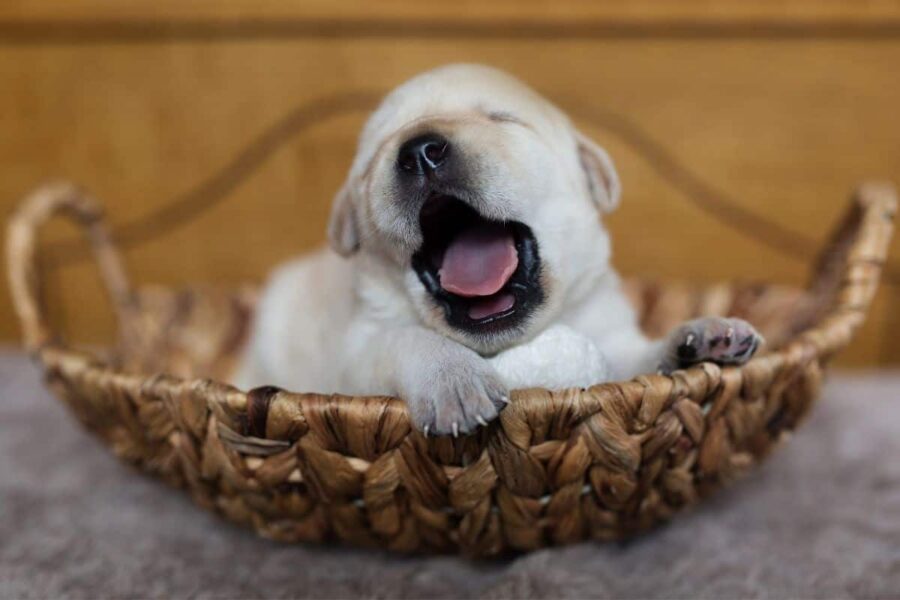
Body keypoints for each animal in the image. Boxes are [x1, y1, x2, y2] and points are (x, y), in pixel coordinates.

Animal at [234, 64, 760, 436]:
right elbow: (408, 339)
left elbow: (636, 360)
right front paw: (453, 381)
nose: (420, 151)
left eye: (502, 119)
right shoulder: (356, 351)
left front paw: (699, 337)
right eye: (374, 157)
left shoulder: (606, 333)